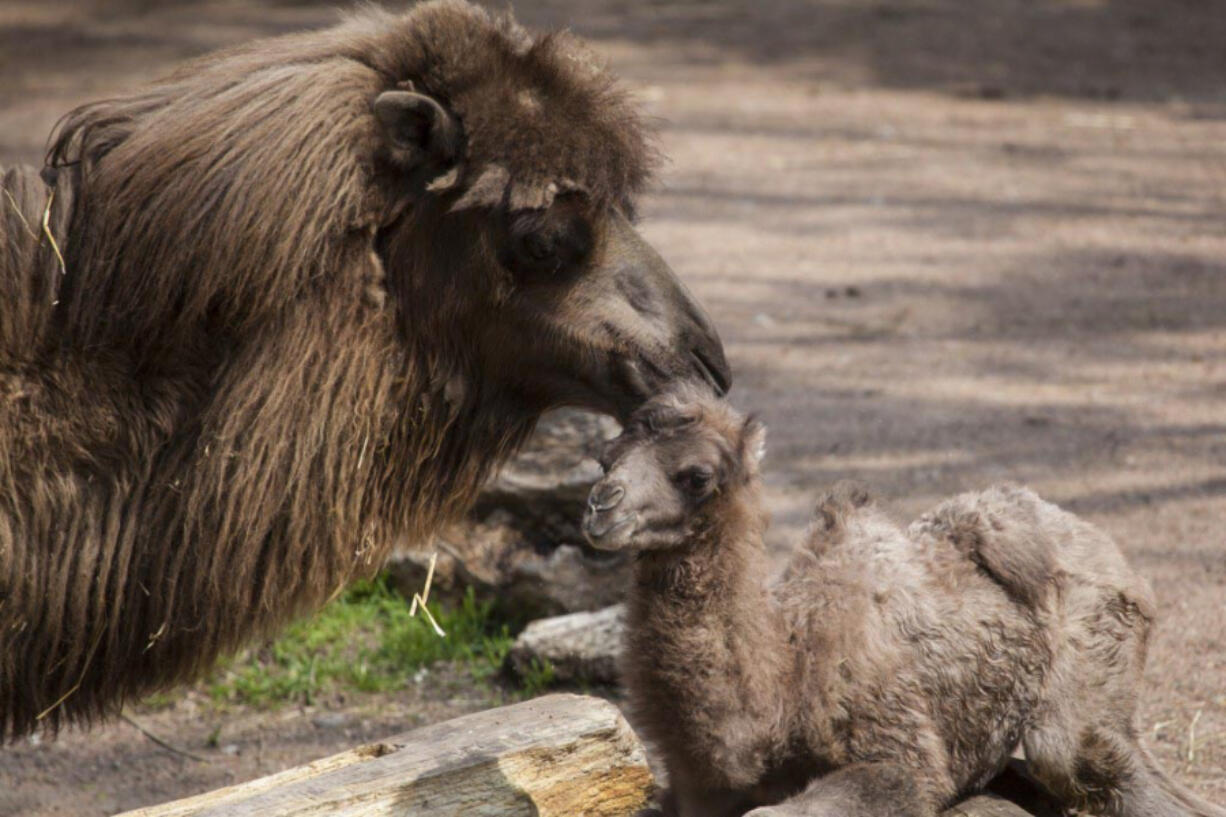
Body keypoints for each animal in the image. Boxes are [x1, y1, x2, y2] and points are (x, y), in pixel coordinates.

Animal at [583, 387, 1226, 814]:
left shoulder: (901, 755)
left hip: (1094, 661)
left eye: (696, 475)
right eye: (605, 457)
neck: (782, 682)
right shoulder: (695, 790)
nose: (600, 506)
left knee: (1088, 760)